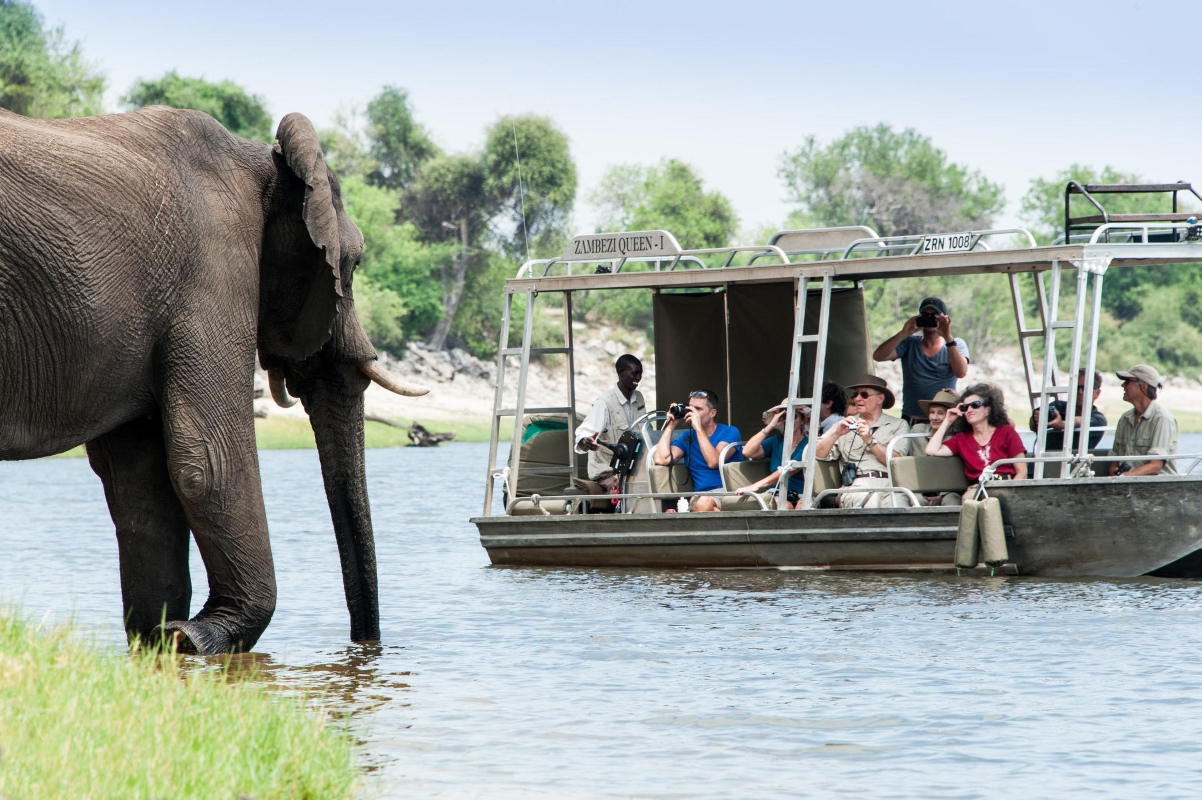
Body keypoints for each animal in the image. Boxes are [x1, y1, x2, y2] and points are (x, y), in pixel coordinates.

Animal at [0, 105, 427, 654]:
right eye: (352, 264)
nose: (365, 650)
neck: (263, 163)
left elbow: (138, 478)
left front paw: (161, 641)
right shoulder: (212, 271)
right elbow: (209, 457)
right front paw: (199, 637)